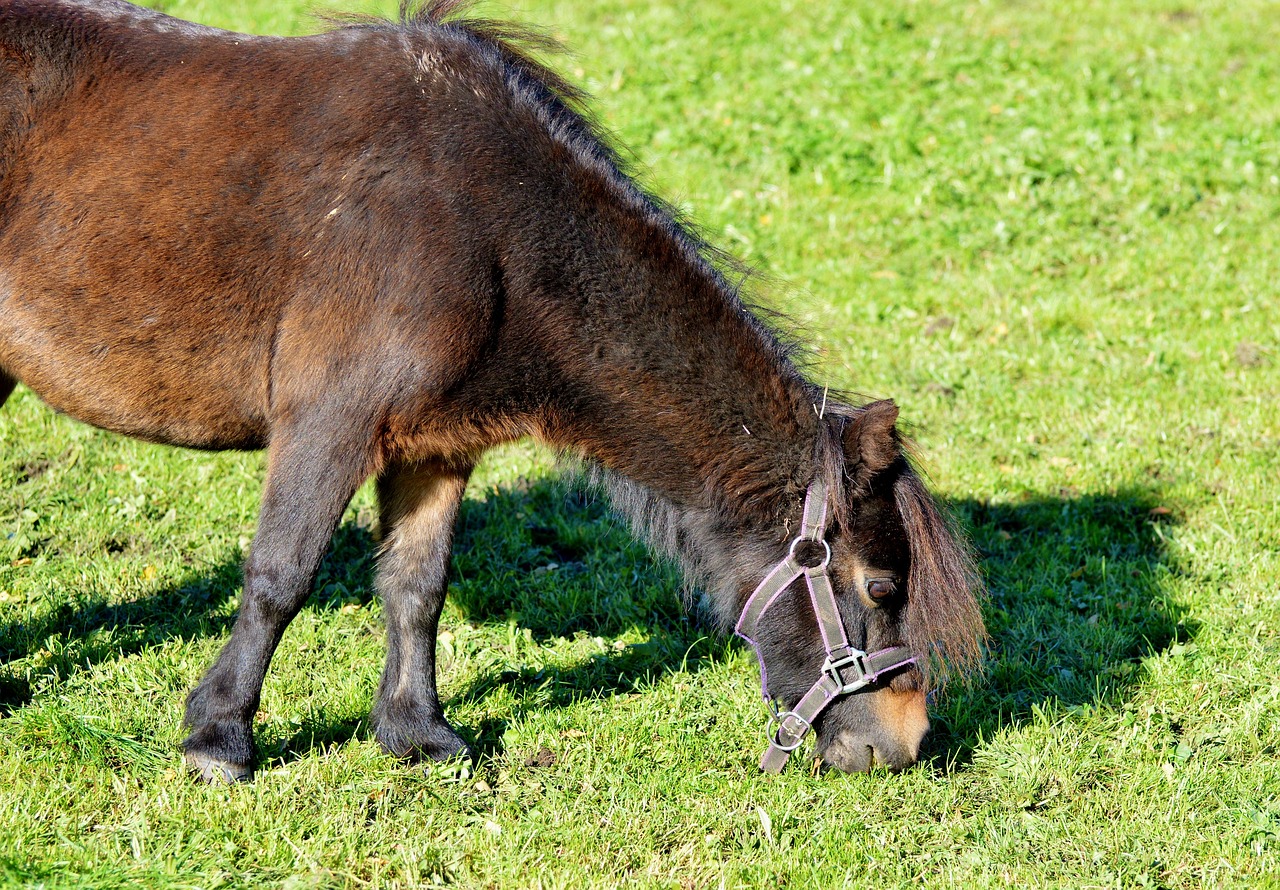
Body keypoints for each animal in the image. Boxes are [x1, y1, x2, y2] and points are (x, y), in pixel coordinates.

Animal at [0, 0, 983, 778]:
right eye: (882, 587)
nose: (902, 745)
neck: (486, 226)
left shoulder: (435, 446)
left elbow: (416, 585)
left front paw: (417, 733)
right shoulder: (328, 423)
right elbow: (280, 578)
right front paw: (219, 738)